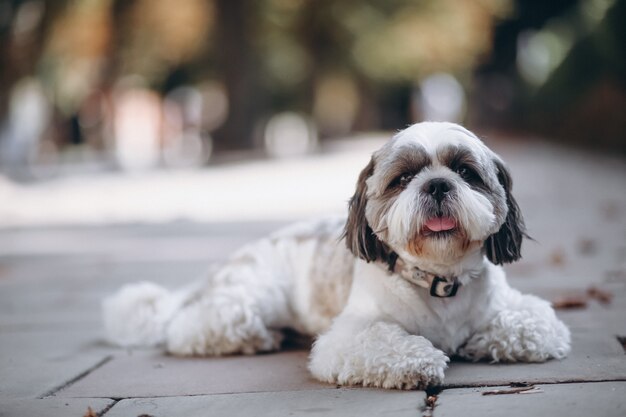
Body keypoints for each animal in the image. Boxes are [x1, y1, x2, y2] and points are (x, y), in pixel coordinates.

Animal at [102, 122, 572, 388]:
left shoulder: (519, 311)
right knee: (190, 327)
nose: (437, 184)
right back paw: (260, 338)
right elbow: (390, 343)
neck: (438, 281)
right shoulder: (350, 336)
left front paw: (478, 342)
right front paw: (421, 359)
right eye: (403, 179)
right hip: (248, 301)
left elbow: (533, 328)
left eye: (465, 172)